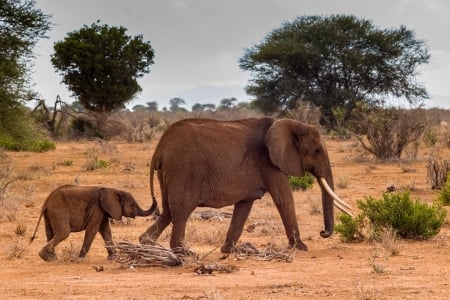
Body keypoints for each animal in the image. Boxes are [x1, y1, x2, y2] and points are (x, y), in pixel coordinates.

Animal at [140, 117, 352, 253]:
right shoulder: (268, 162)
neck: (292, 123)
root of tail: (159, 148)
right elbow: (284, 198)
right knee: (181, 211)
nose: (323, 232)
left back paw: (147, 244)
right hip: (183, 171)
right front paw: (301, 248)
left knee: (168, 211)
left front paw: (229, 250)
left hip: (168, 173)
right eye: (317, 150)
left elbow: (244, 205)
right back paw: (183, 252)